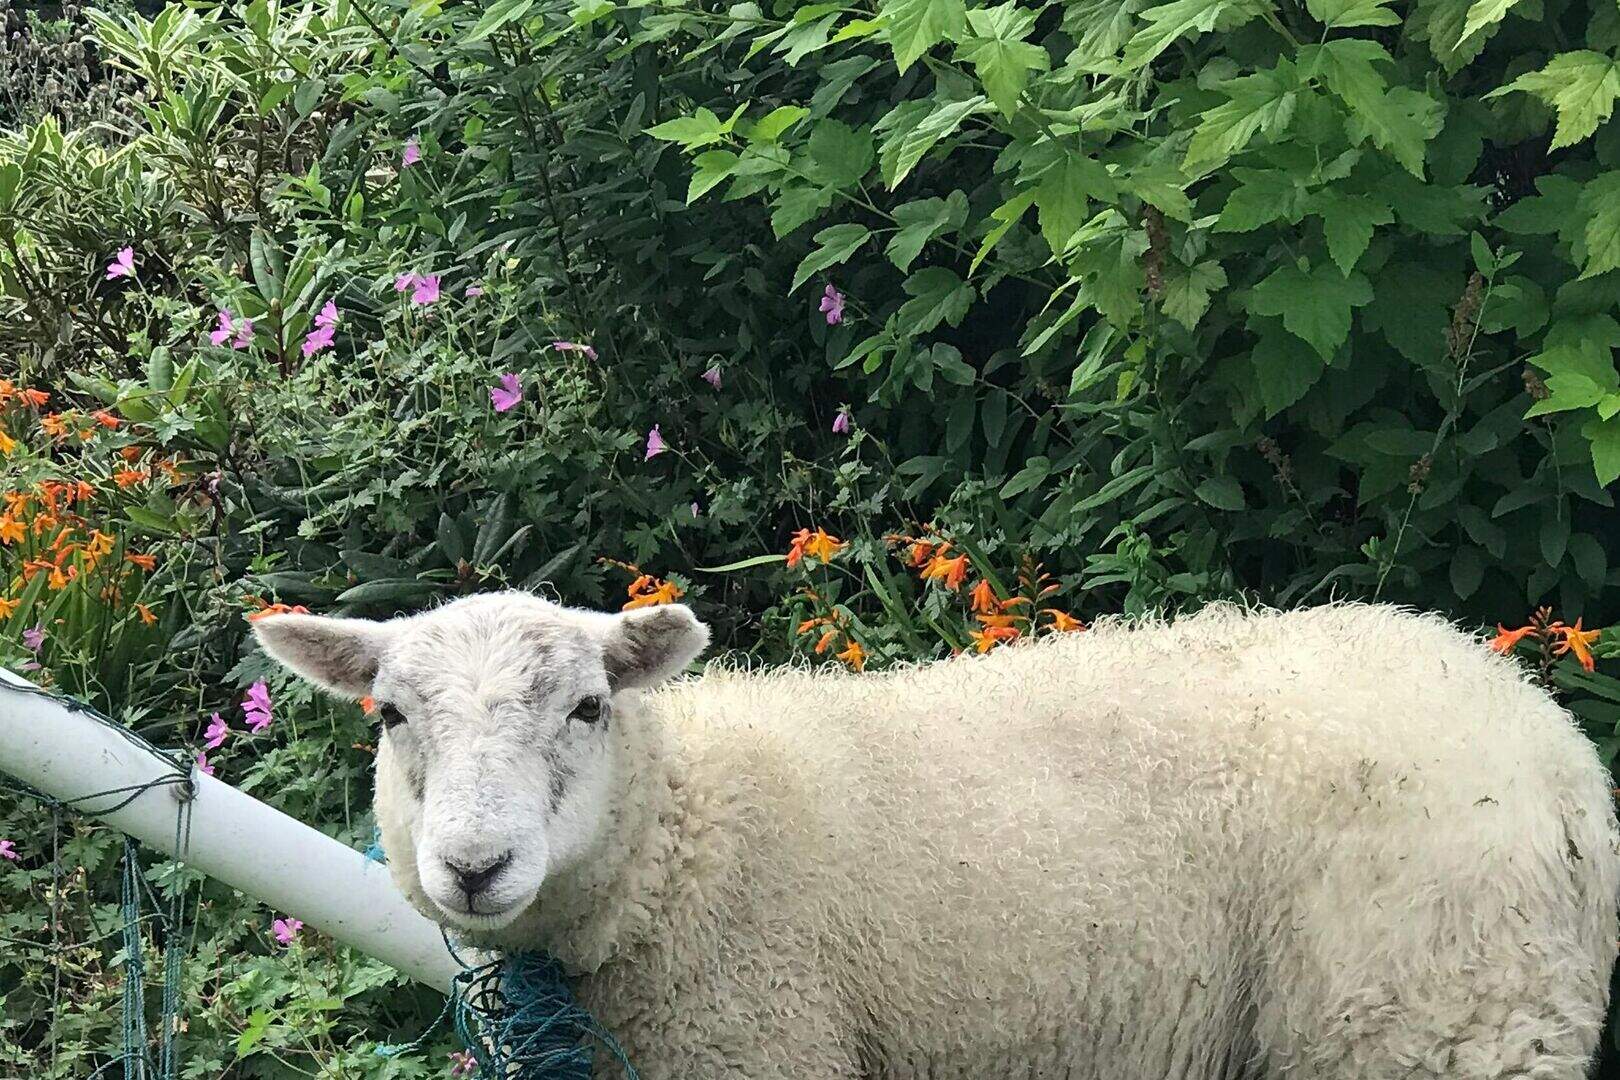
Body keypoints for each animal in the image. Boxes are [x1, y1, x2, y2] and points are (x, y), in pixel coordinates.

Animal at [254, 595, 1620, 1079]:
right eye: (389, 715)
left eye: (589, 707)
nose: (474, 868)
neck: (689, 834)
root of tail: (1557, 750)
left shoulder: (762, 1045)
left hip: (1438, 1016)